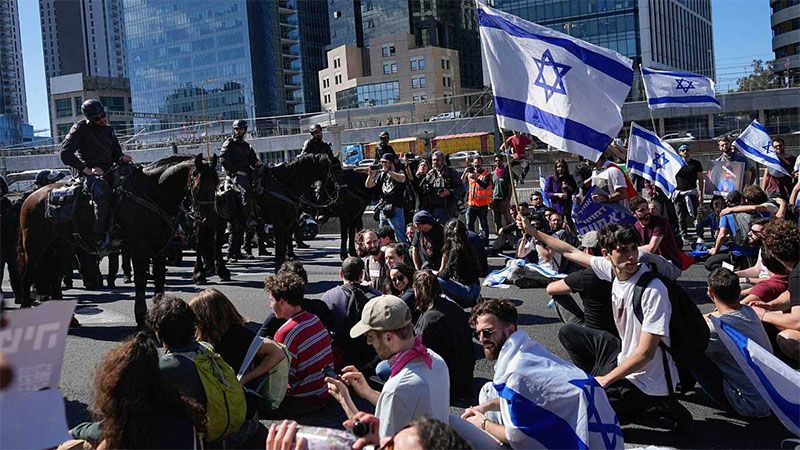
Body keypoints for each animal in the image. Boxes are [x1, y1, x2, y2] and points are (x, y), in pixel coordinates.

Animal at [18, 155, 217, 326]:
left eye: (216, 185)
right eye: (199, 186)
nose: (209, 220)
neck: (151, 194)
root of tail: (30, 197)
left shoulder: (160, 249)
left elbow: (159, 279)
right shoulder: (139, 249)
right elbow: (141, 281)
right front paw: (140, 316)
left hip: (65, 246)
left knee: (55, 277)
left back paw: (70, 319)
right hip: (35, 246)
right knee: (27, 275)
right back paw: (26, 306)